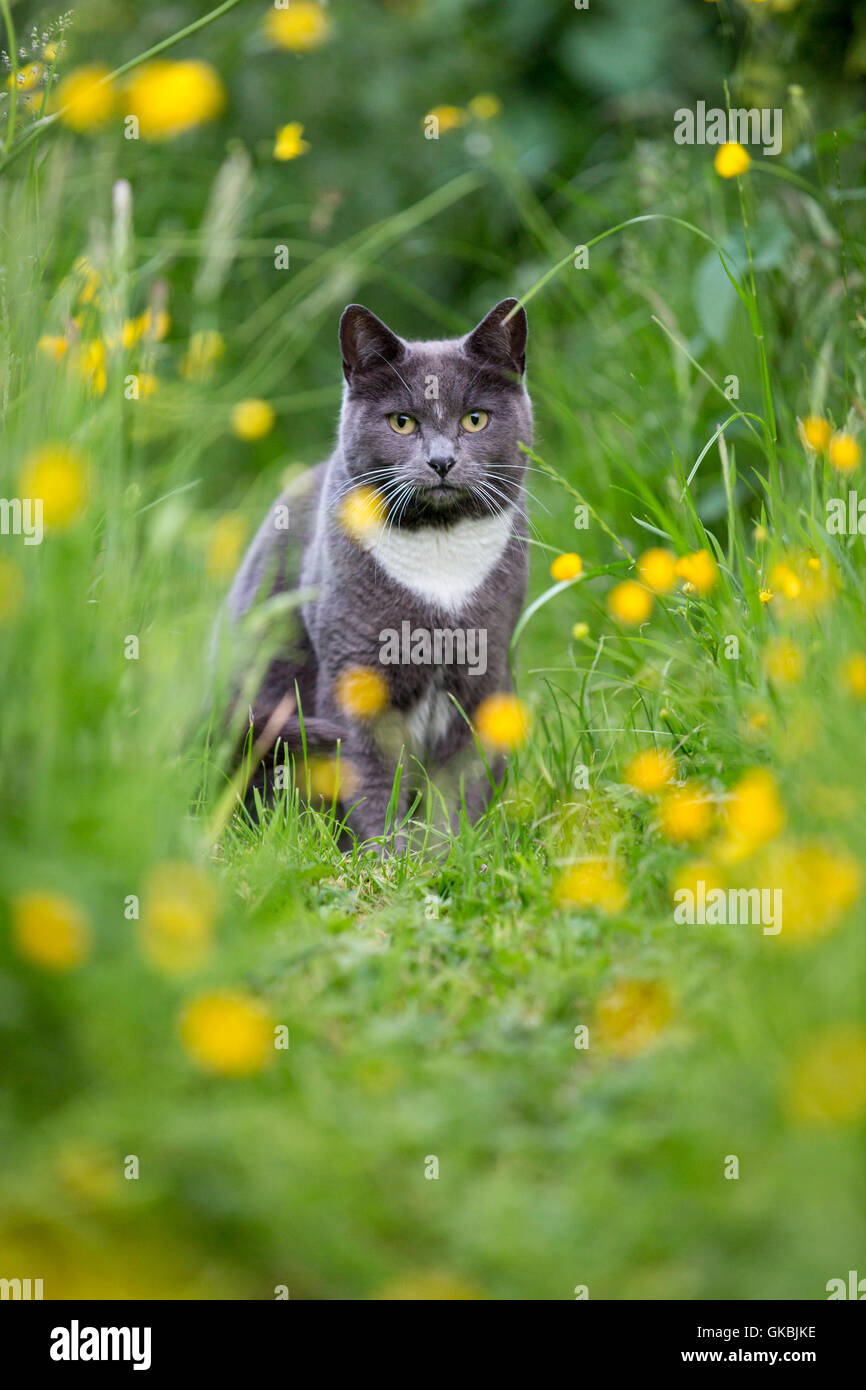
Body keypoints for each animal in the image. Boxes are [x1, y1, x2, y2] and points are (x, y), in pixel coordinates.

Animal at [225, 296, 528, 845]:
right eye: (402, 422)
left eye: (475, 419)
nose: (441, 461)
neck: (440, 549)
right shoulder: (355, 668)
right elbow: (366, 776)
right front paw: (386, 855)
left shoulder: (485, 674)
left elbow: (461, 785)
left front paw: (453, 851)